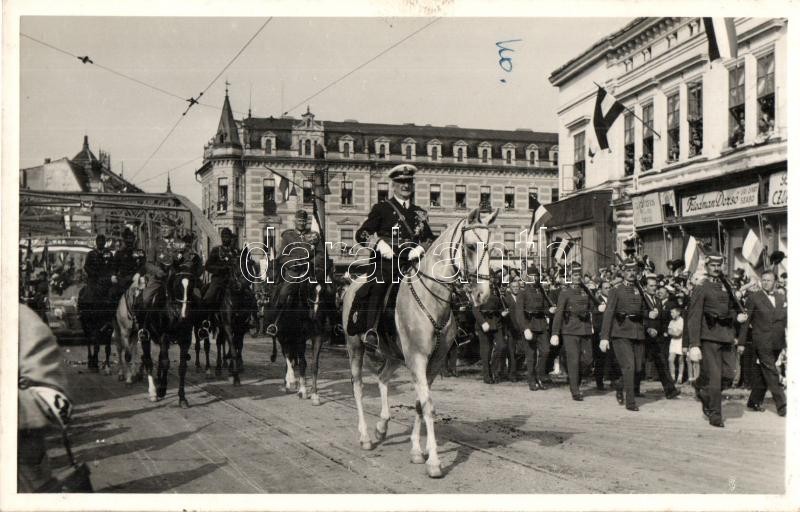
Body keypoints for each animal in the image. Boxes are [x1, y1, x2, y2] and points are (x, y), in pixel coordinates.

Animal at [341, 207, 497, 478]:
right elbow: (428, 406)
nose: (482, 295)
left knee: (382, 378)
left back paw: (382, 426)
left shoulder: (433, 363)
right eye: (470, 246)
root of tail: (352, 285)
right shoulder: (417, 359)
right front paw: (433, 461)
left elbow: (418, 404)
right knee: (358, 387)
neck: (432, 301)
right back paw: (366, 437)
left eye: (490, 247)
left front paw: (416, 450)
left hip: (393, 354)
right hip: (355, 347)